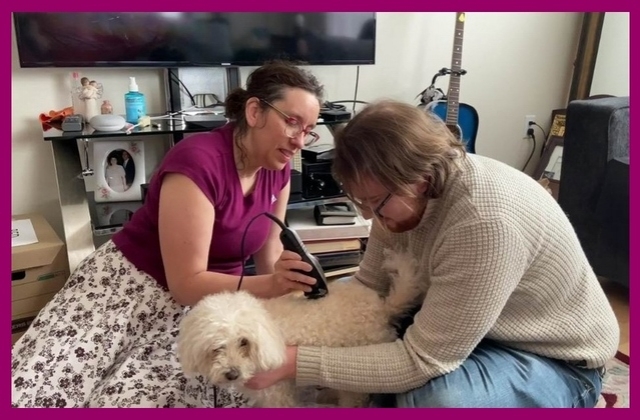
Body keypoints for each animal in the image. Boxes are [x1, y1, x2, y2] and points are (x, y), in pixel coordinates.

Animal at [178, 249, 422, 406]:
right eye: (216, 347)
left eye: (244, 342)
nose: (232, 374)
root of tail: (383, 308)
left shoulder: (277, 392)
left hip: (358, 375)